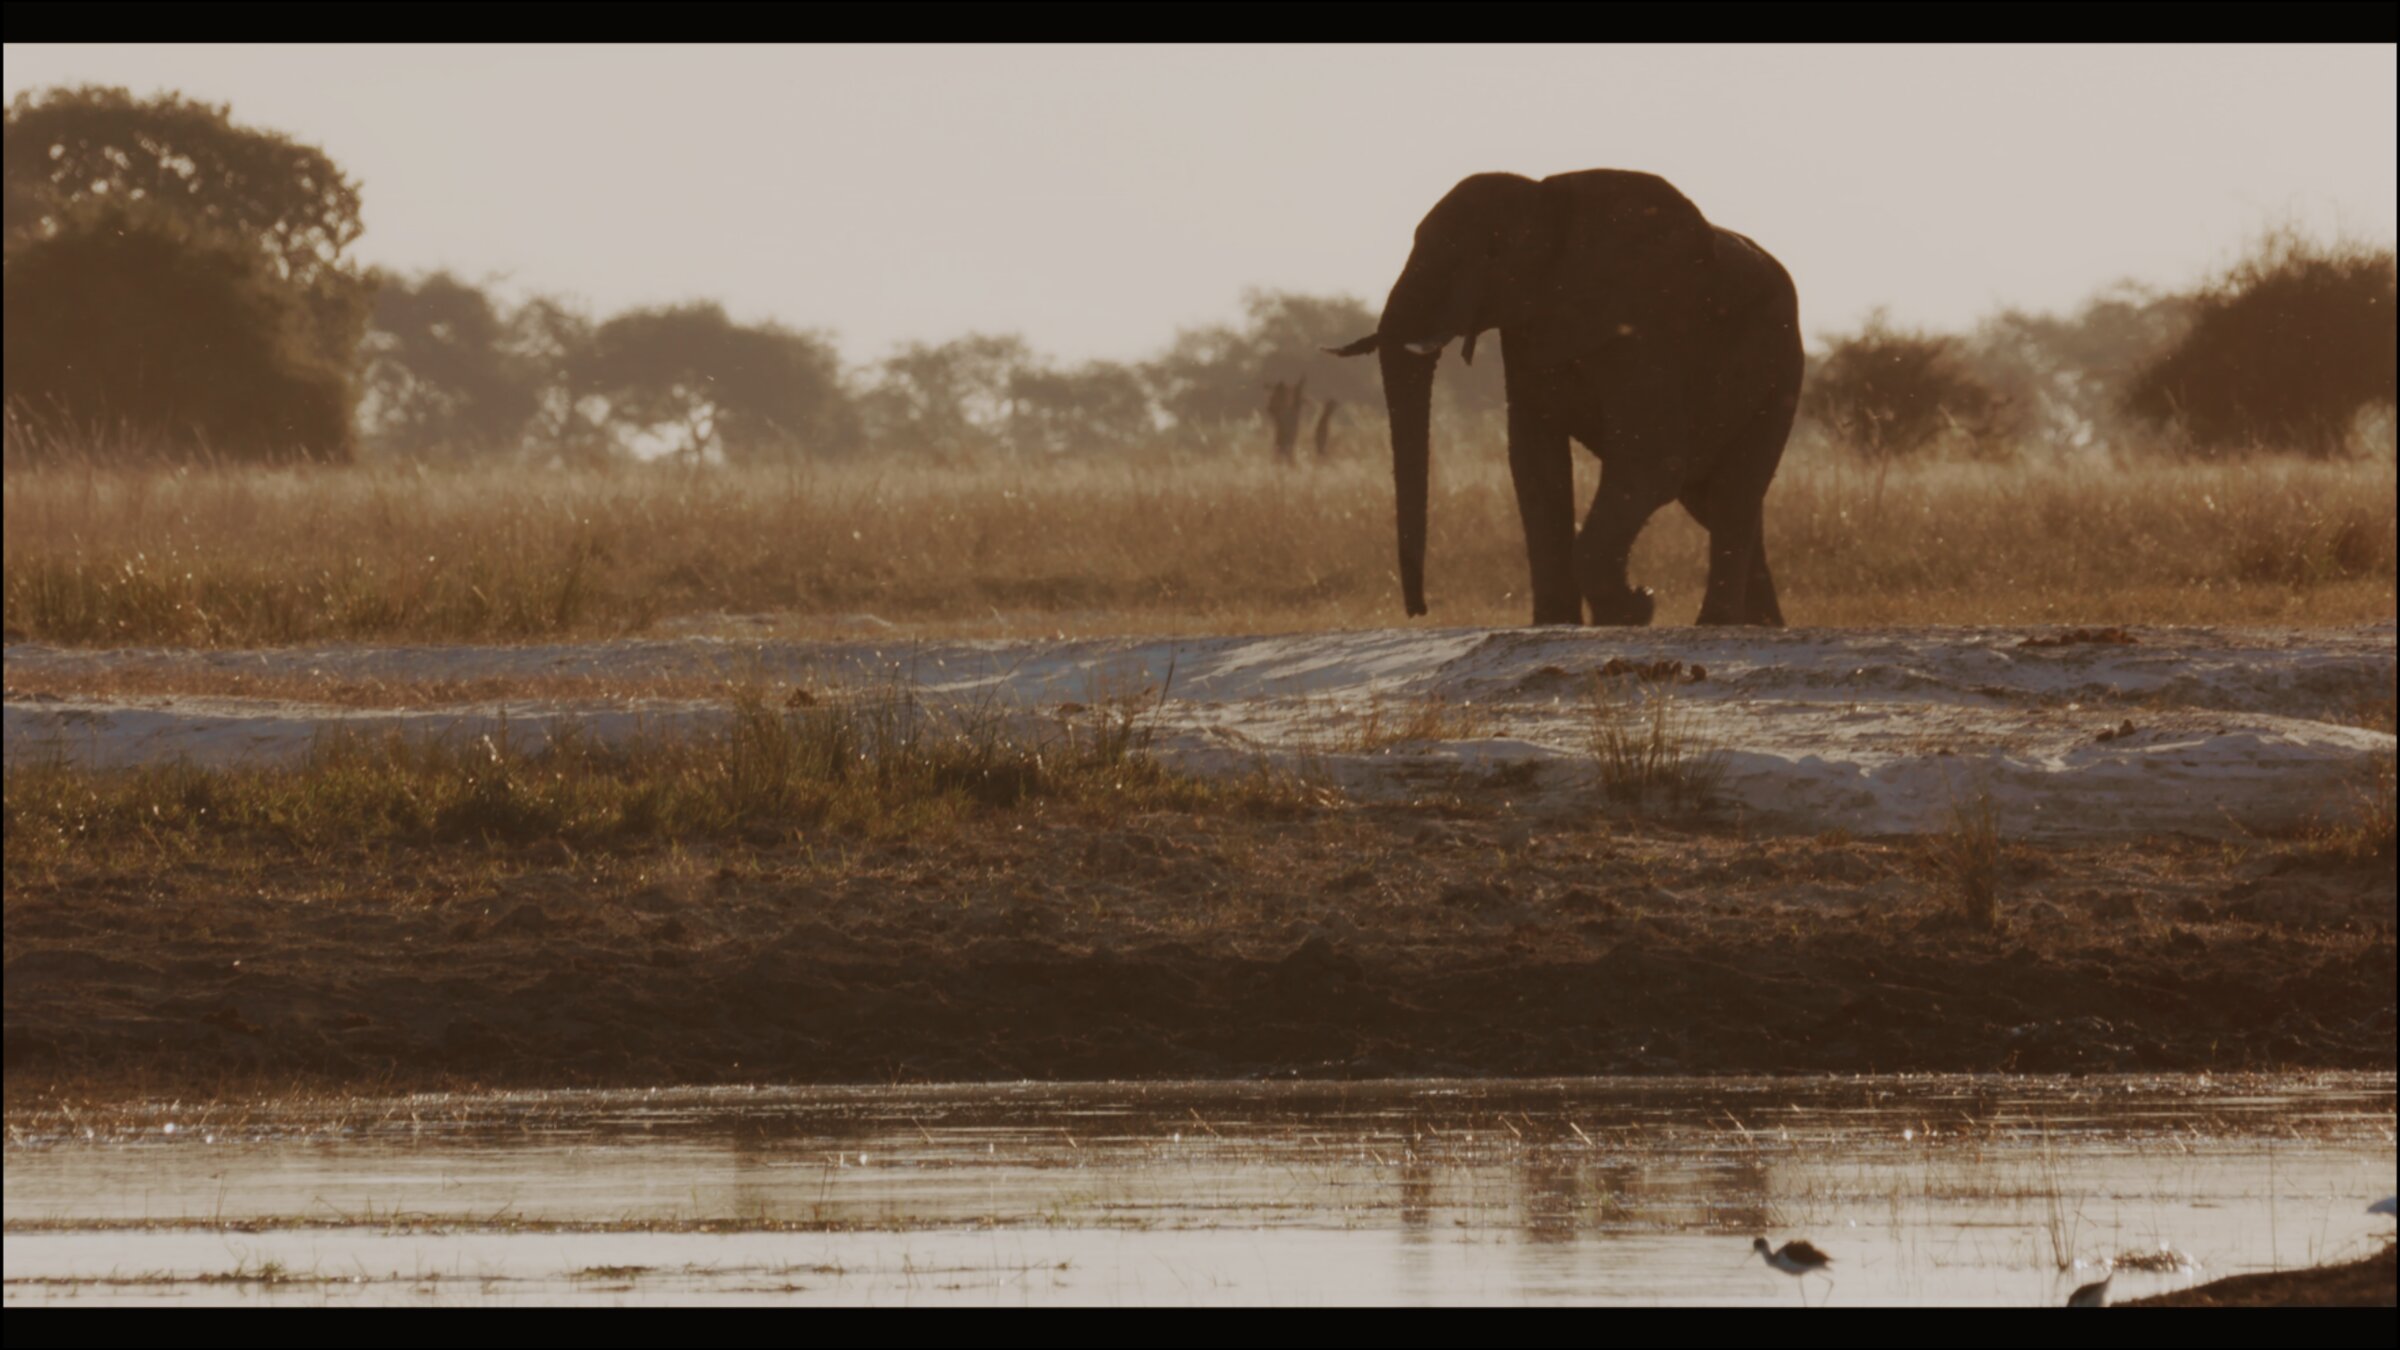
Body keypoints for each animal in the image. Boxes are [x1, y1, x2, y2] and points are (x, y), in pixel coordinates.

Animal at [1328, 170, 1802, 626]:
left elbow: (1651, 460)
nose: (1419, 610)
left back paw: (1717, 624)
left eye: (1491, 253)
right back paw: (1765, 625)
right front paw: (1557, 622)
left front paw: (1632, 611)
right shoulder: (1527, 330)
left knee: (1732, 493)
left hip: (1781, 371)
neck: (1547, 204)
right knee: (1710, 499)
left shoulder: (1645, 328)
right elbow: (1536, 465)